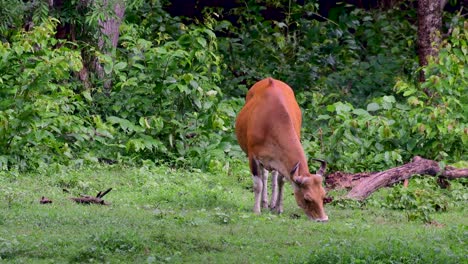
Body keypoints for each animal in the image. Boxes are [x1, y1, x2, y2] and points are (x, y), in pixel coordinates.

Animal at [234, 77, 330, 222]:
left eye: (323, 195)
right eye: (307, 198)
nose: (323, 219)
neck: (271, 122)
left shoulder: (282, 160)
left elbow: (281, 182)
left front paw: (279, 208)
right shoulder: (253, 157)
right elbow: (258, 184)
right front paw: (256, 210)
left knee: (272, 176)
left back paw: (272, 203)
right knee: (264, 176)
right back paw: (264, 203)